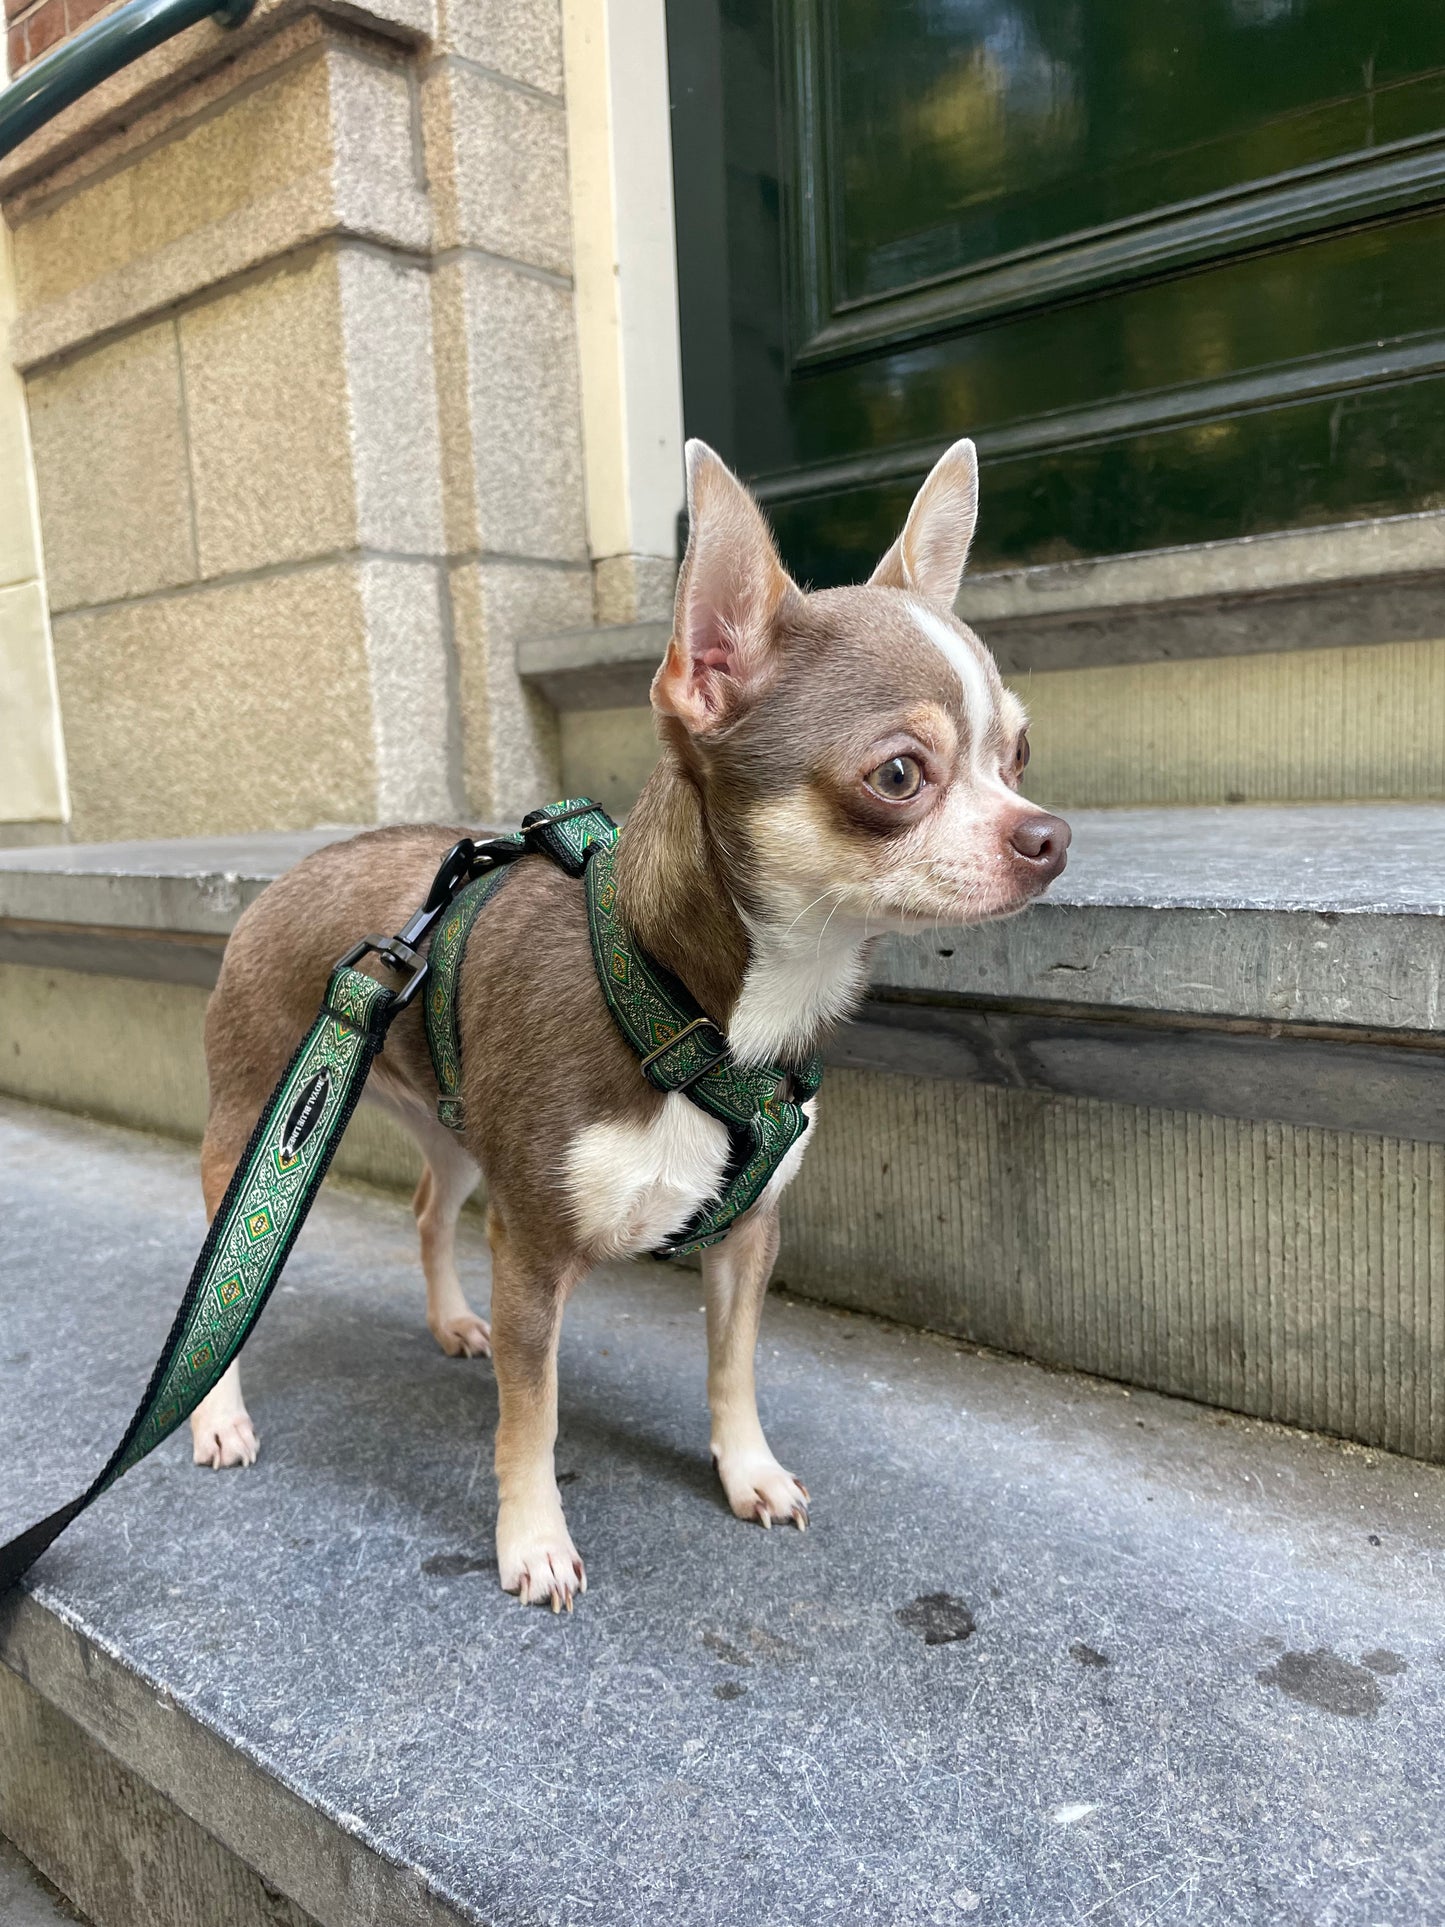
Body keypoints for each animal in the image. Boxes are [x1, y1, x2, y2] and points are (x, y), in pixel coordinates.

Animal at [192, 441, 1071, 1610]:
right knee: (219, 1280)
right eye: (897, 774)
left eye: (1019, 755)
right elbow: (532, 1412)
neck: (692, 1009)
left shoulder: (745, 1237)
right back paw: (216, 1414)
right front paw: (531, 1540)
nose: (1049, 835)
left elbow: (731, 1367)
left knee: (426, 1209)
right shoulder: (532, 1251)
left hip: (455, 1133)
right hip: (251, 1132)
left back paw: (450, 1321)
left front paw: (747, 1471)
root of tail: (285, 875)